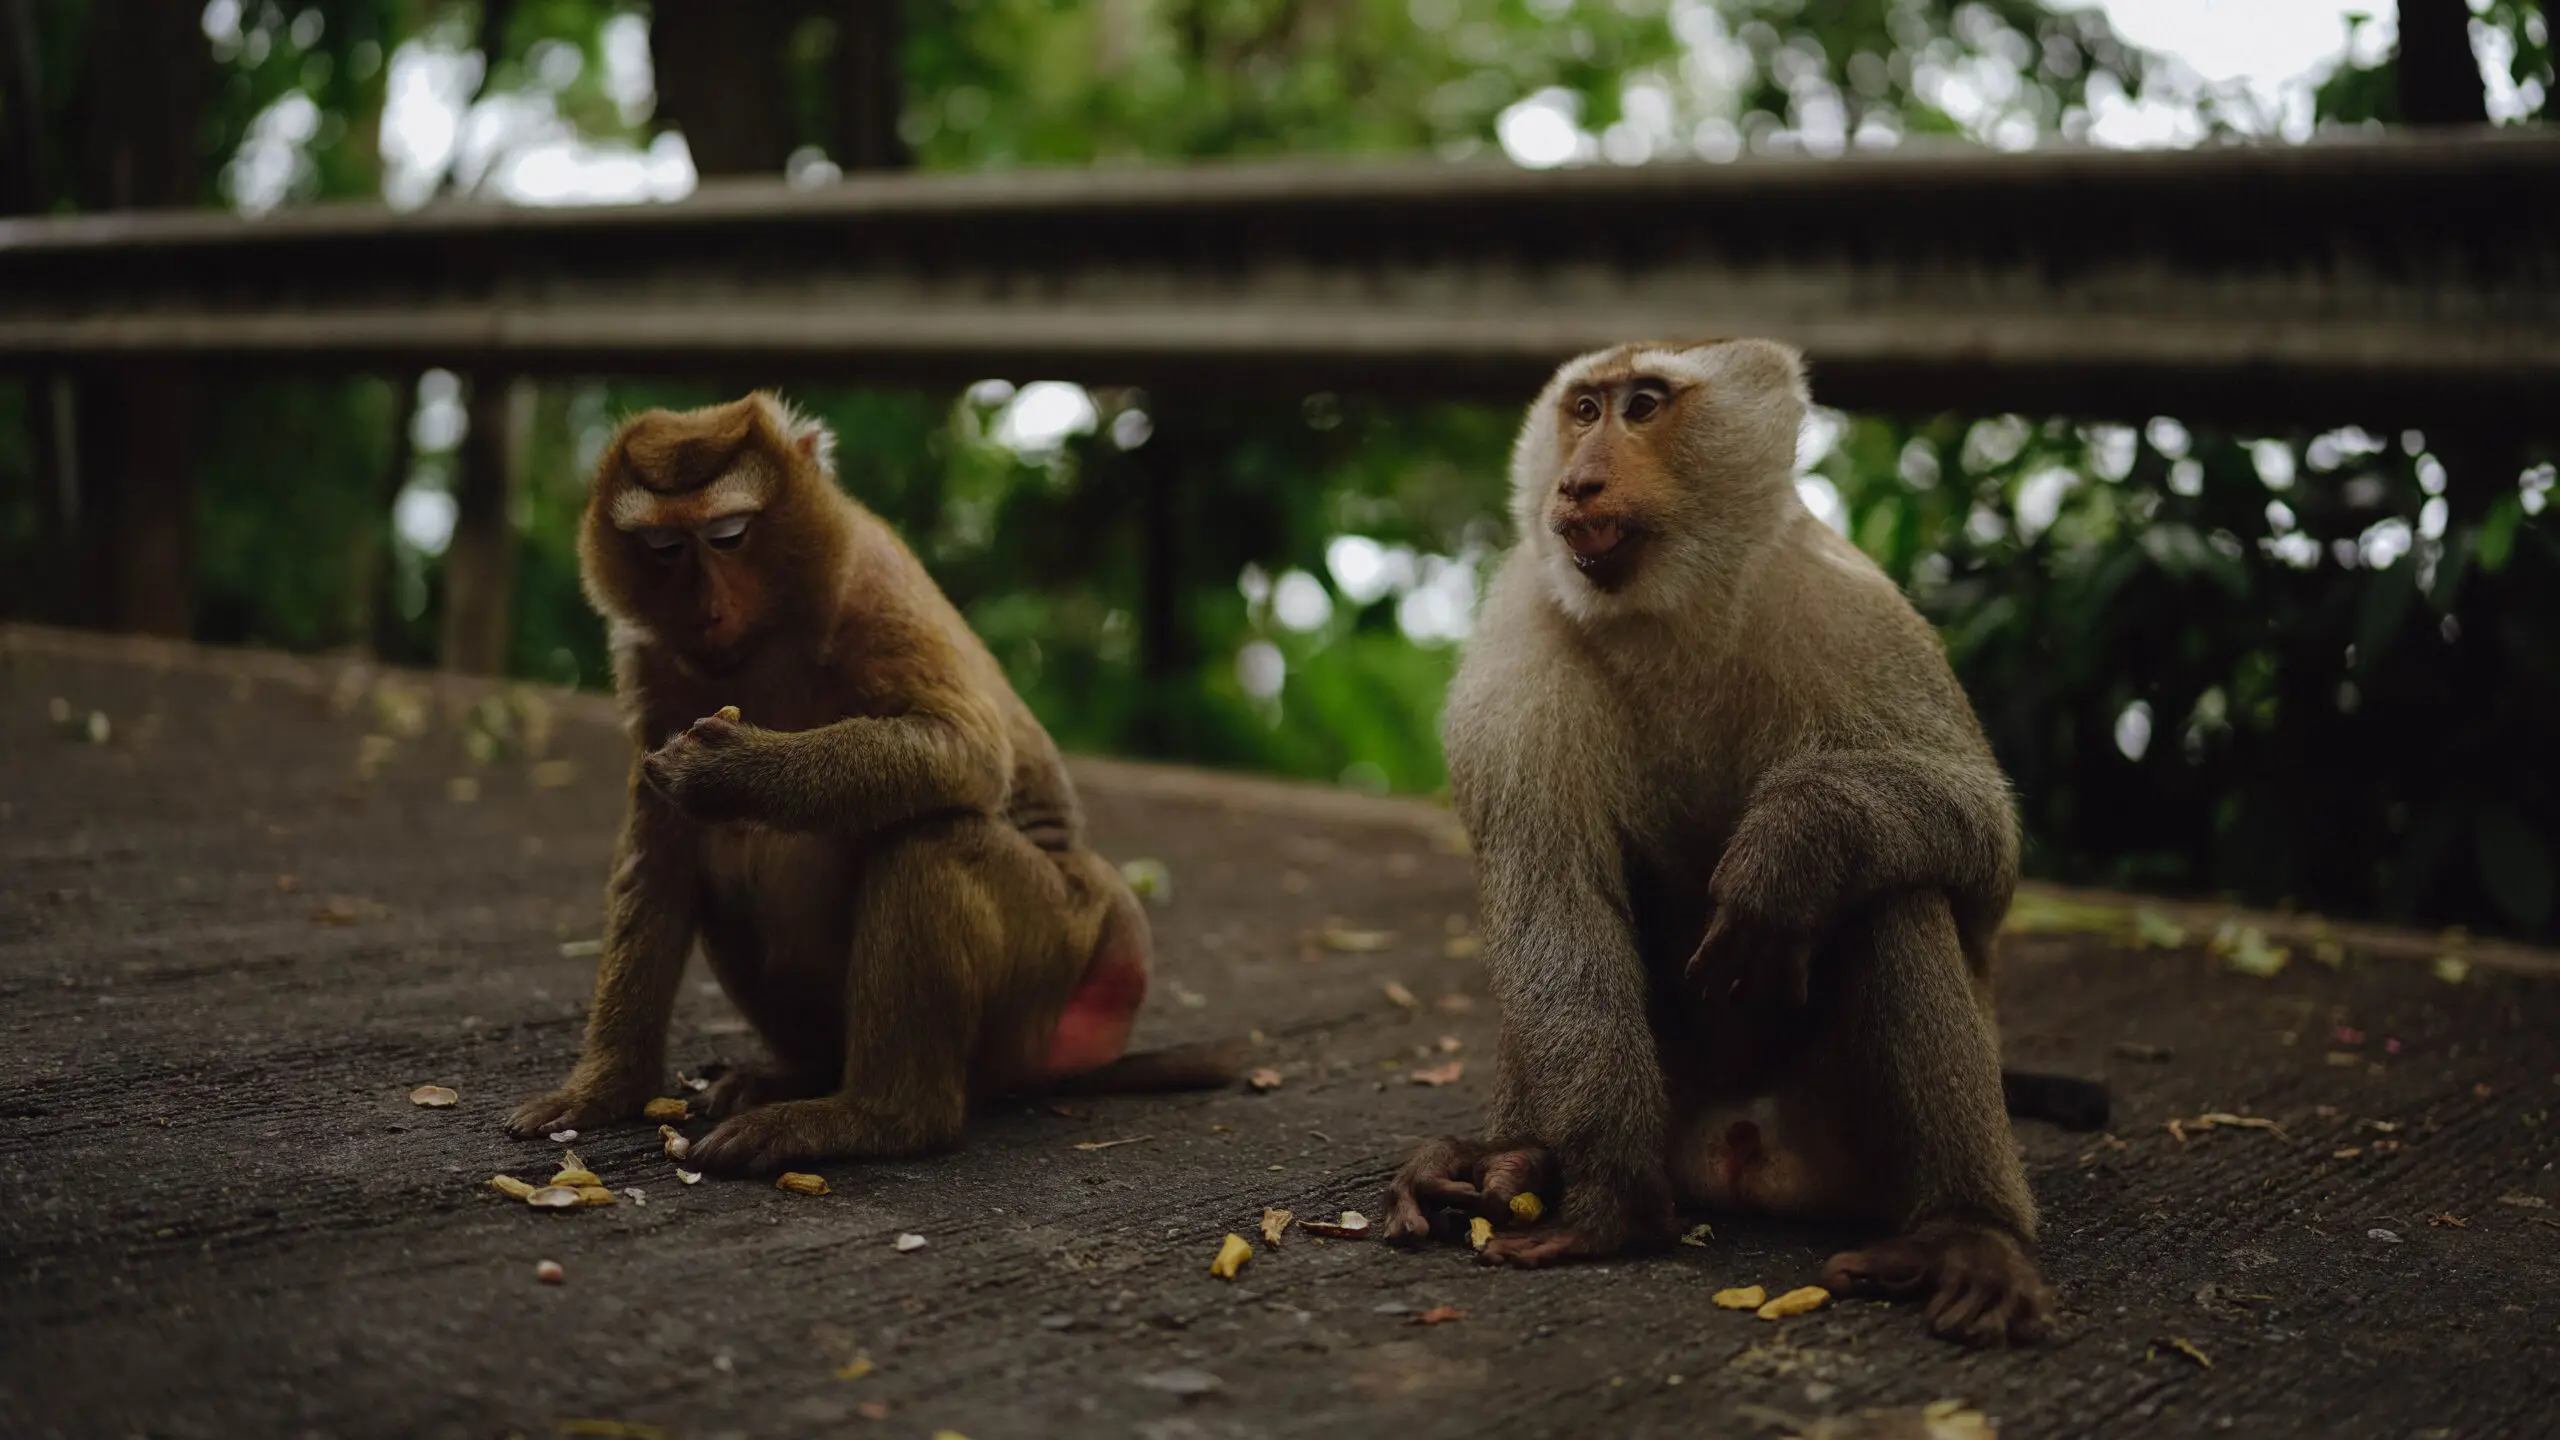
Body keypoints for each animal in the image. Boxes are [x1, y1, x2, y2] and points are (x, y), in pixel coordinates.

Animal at [506, 392, 1238, 1173]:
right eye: (664, 548)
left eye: (729, 535)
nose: (706, 608)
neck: (770, 634)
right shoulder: (648, 661)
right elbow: (660, 855)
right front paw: (604, 1088)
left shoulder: (872, 582)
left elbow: (967, 752)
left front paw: (731, 771)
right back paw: (799, 1075)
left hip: (1052, 954)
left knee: (934, 840)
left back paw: (877, 1118)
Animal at [1381, 338, 2080, 1347]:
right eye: (1584, 409)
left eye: (1643, 405)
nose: (1578, 481)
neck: (1670, 607)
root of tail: (1741, 1148)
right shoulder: (1518, 647)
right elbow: (1551, 892)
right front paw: (1611, 1200)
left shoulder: (1850, 604)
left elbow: (1986, 851)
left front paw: (1794, 846)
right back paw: (1518, 1160)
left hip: (1845, 1145)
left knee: (1895, 893)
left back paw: (1967, 1234)